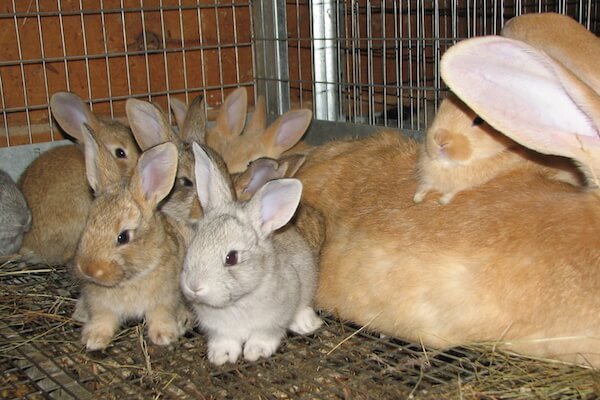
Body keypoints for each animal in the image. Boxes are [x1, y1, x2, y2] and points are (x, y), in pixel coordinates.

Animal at [72, 126, 190, 352]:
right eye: (88, 224)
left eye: (123, 236)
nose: (89, 269)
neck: (131, 279)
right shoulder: (100, 305)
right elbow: (103, 319)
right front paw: (94, 339)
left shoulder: (165, 299)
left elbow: (160, 315)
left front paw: (164, 336)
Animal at [183, 143, 324, 366]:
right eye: (193, 244)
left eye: (231, 258)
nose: (194, 286)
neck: (238, 301)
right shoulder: (219, 330)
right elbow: (225, 341)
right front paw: (221, 357)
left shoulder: (273, 321)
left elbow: (265, 336)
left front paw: (255, 352)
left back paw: (306, 324)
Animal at [412, 92, 580, 205]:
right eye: (440, 108)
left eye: (479, 120)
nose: (440, 139)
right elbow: (427, 186)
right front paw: (417, 197)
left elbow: (456, 188)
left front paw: (444, 200)